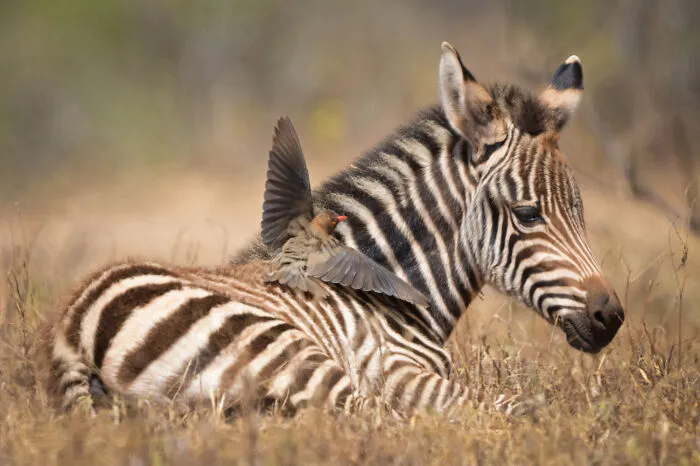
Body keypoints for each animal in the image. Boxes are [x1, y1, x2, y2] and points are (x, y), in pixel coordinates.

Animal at [47, 42, 624, 417]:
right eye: (528, 214)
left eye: (581, 213)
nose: (612, 317)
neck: (396, 291)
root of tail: (74, 329)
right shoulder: (396, 370)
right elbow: (519, 406)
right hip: (286, 349)